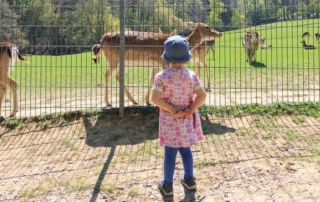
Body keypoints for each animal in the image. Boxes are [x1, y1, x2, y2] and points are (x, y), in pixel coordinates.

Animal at [92, 22, 222, 106]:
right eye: (207, 27)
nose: (219, 33)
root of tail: (102, 40)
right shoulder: (164, 62)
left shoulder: (156, 64)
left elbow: (152, 80)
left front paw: (147, 100)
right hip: (113, 59)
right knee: (107, 74)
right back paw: (108, 102)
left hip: (124, 63)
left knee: (117, 76)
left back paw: (133, 100)